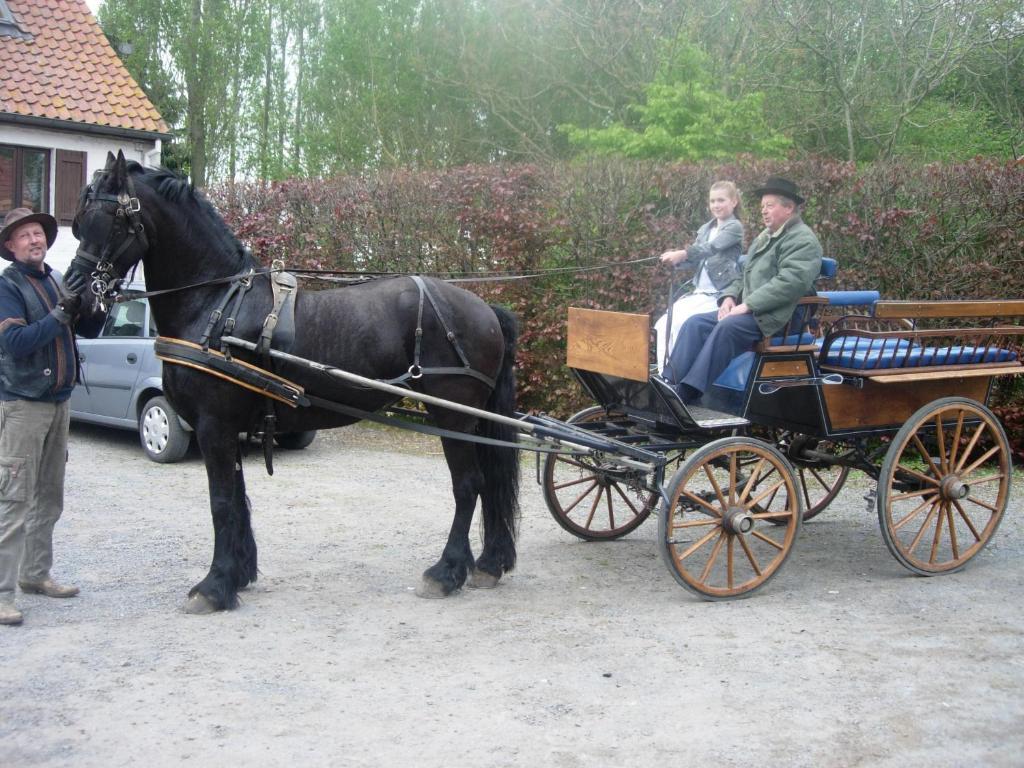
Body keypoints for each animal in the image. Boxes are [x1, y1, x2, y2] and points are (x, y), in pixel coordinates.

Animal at [69, 153, 520, 618]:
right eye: (79, 223)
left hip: (451, 414)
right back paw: (486, 564)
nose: (75, 296)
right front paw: (239, 574)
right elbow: (238, 498)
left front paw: (214, 586)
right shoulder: (228, 428)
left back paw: (447, 571)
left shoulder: (213, 425)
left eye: (109, 219)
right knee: (489, 482)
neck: (216, 306)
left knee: (468, 485)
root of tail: (486, 310)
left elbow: (221, 501)